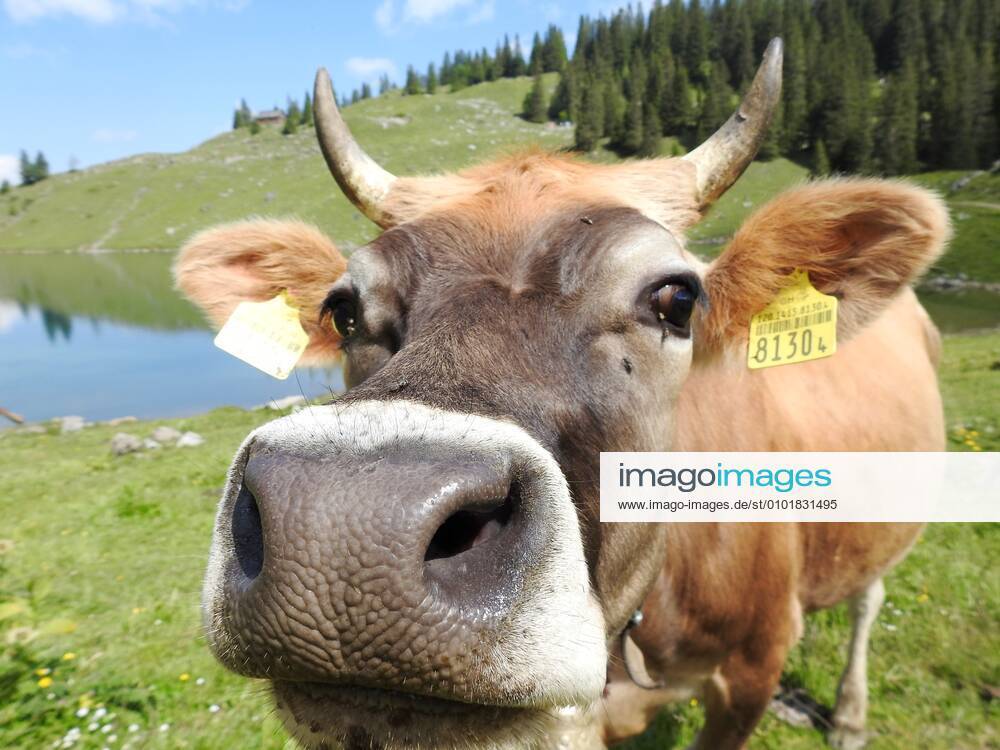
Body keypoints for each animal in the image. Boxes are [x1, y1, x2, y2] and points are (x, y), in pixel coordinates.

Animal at [175, 39, 950, 750]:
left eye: (677, 299)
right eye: (343, 310)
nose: (344, 528)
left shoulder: (753, 667)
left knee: (870, 594)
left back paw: (848, 717)